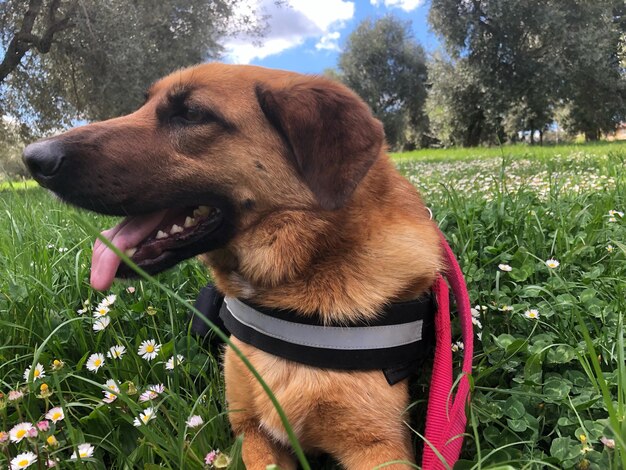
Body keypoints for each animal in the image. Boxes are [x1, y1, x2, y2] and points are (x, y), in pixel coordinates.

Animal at [23, 63, 438, 470]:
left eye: (191, 113)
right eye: (143, 104)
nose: (33, 158)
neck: (296, 279)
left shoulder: (380, 445)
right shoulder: (250, 427)